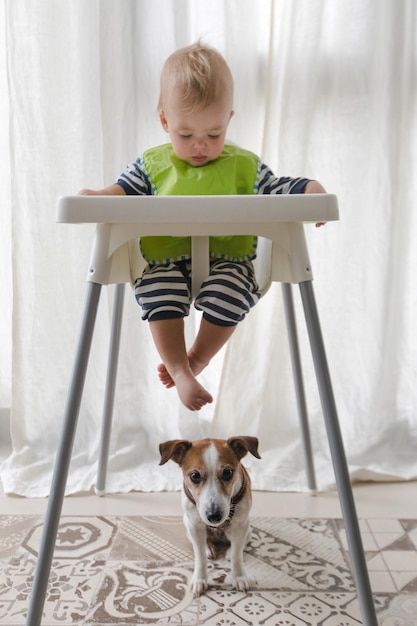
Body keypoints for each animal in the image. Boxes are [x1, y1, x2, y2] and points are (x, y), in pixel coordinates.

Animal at [159, 434, 260, 596]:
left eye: (228, 472)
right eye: (195, 475)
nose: (214, 516)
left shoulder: (240, 525)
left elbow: (237, 556)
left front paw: (239, 577)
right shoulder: (194, 525)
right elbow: (200, 557)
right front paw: (200, 580)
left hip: (248, 528)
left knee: (238, 545)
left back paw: (229, 550)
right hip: (188, 525)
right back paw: (208, 547)